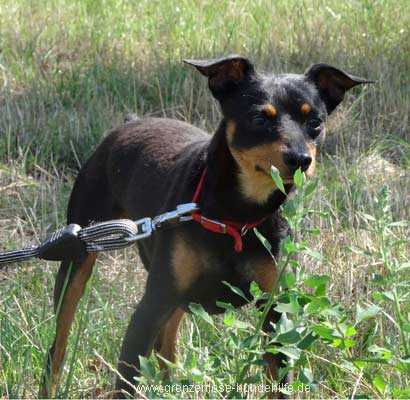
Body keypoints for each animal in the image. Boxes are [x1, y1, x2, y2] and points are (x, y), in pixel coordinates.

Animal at [41, 55, 371, 398]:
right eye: (259, 118)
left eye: (315, 122)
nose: (300, 159)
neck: (236, 216)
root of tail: (128, 124)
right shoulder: (150, 308)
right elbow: (125, 382)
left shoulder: (276, 315)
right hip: (79, 256)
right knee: (58, 347)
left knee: (167, 341)